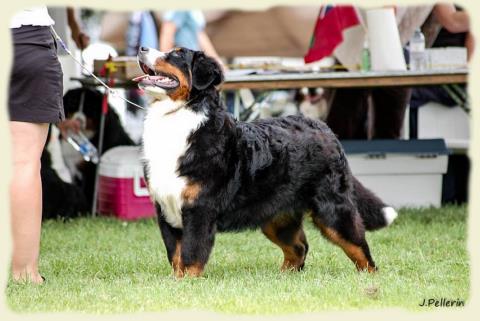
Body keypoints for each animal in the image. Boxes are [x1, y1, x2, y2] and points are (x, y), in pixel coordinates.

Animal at [135, 46, 398, 276]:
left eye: (177, 54)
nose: (142, 48)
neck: (178, 117)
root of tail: (323, 127)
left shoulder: (199, 209)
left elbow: (191, 254)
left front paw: (187, 283)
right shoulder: (165, 210)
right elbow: (175, 254)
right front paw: (175, 283)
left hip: (332, 208)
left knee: (359, 246)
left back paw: (369, 277)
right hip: (276, 215)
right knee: (299, 247)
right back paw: (283, 277)